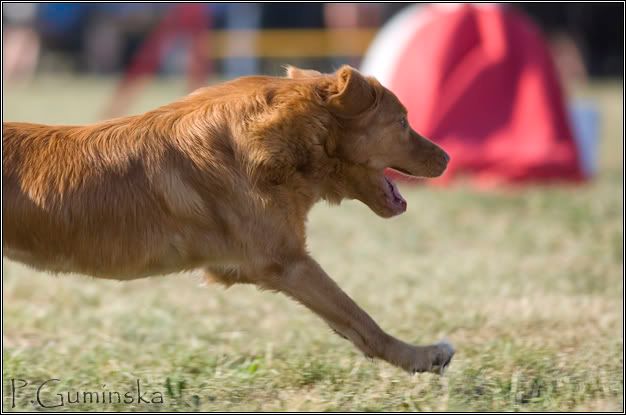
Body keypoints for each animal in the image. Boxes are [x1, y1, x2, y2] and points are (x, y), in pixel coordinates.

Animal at [3, 65, 453, 374]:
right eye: (402, 121)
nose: (449, 158)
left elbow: (351, 325)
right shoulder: (287, 264)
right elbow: (361, 318)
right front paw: (423, 356)